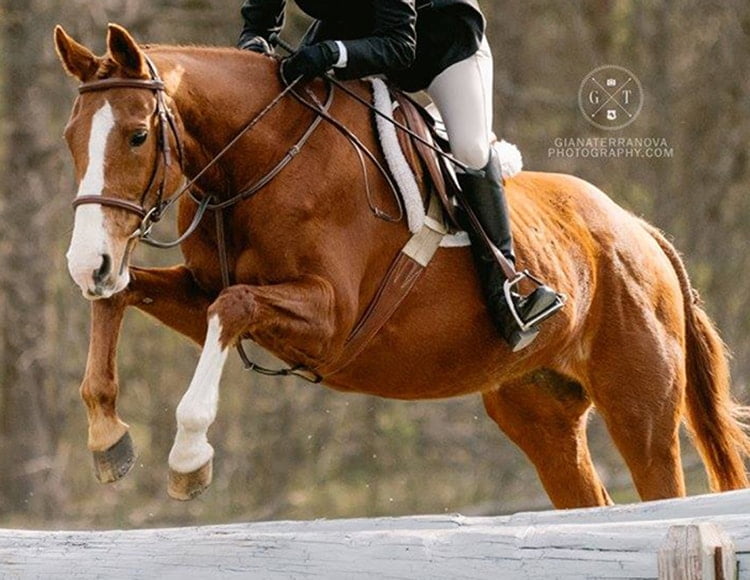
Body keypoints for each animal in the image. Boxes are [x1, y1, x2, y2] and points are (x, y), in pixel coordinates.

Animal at [54, 23, 750, 507]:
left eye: (138, 135)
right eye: (70, 138)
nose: (87, 263)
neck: (262, 160)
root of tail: (643, 233)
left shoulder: (328, 318)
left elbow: (235, 305)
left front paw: (188, 456)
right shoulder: (203, 295)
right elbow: (124, 297)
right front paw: (108, 437)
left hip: (642, 410)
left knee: (659, 484)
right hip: (539, 411)